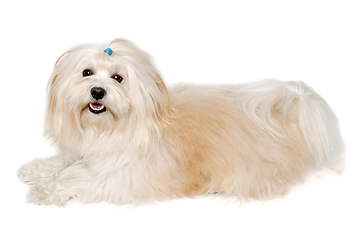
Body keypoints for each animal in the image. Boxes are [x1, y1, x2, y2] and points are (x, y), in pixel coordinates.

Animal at [18, 38, 344, 205]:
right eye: (87, 73)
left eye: (118, 78)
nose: (97, 91)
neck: (108, 131)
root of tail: (286, 114)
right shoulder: (83, 153)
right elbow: (64, 161)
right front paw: (34, 170)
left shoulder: (124, 176)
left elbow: (79, 178)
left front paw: (46, 190)